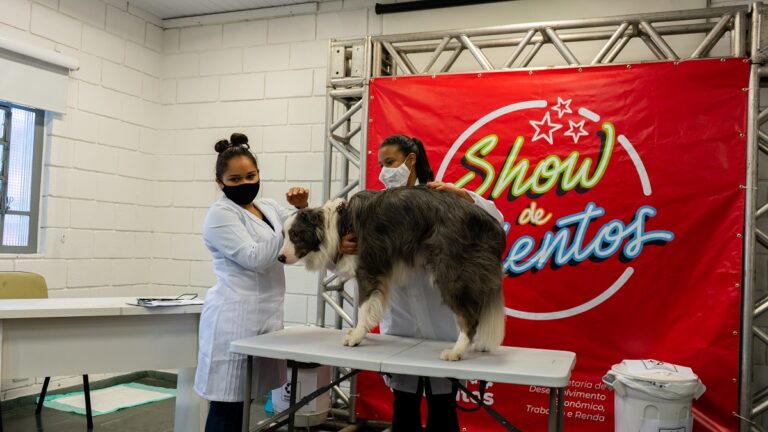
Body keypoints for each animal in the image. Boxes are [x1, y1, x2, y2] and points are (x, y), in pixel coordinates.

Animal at [280, 187, 508, 360]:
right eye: (284, 235)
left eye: (296, 234)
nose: (280, 258)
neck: (337, 225)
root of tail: (491, 223)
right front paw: (359, 332)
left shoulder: (368, 269)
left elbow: (364, 307)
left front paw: (356, 336)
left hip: (451, 272)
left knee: (470, 317)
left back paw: (456, 352)